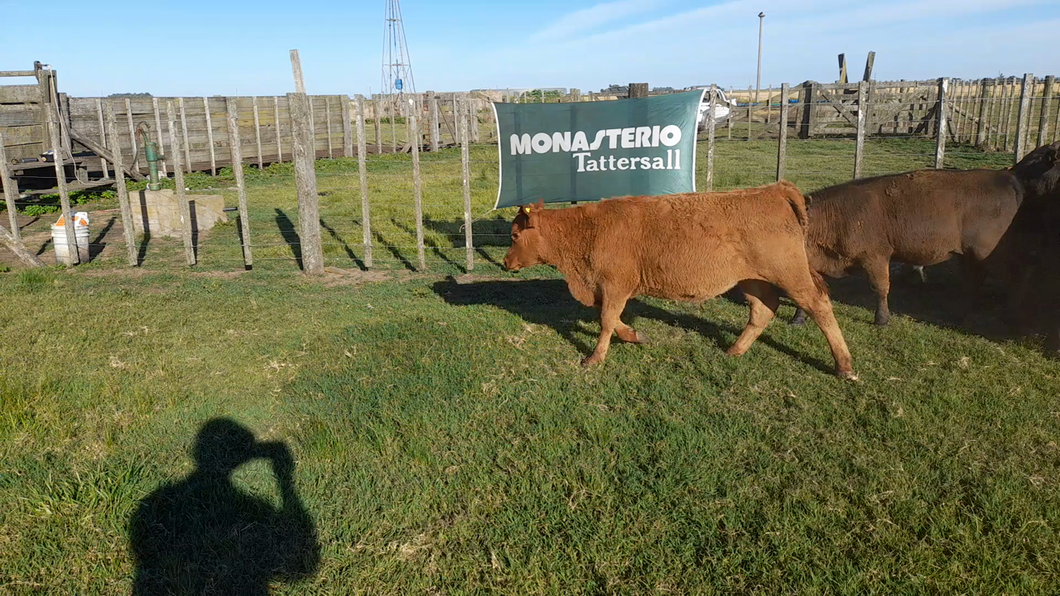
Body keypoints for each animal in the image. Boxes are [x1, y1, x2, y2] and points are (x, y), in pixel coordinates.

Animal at [500, 178, 856, 377]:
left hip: (791, 274)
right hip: (753, 280)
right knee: (763, 310)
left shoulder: (615, 284)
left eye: (515, 235)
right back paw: (735, 350)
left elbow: (605, 320)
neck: (587, 230)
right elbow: (612, 319)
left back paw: (844, 366)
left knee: (819, 305)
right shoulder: (606, 287)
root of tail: (774, 191)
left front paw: (595, 358)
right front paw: (634, 336)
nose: (505, 262)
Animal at [792, 138, 1060, 324]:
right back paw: (961, 313)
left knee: (1020, 273)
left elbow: (880, 288)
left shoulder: (876, 257)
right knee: (974, 280)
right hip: (969, 255)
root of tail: (1008, 178)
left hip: (990, 251)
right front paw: (798, 318)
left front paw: (882, 319)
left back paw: (1012, 314)